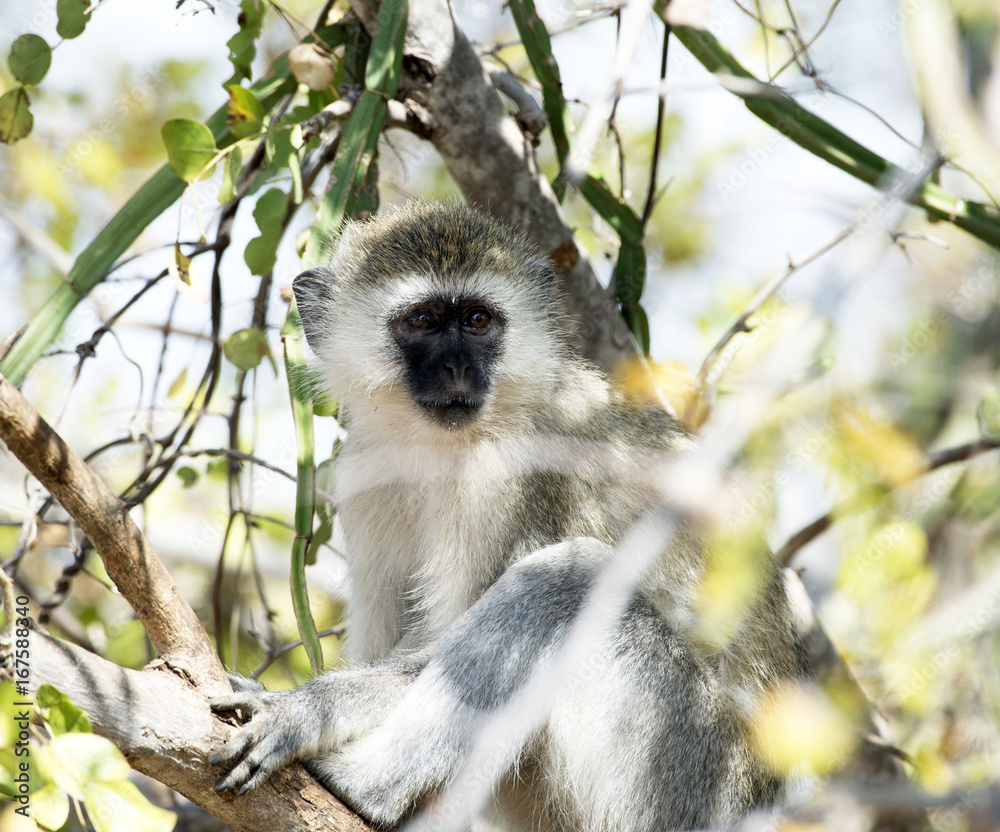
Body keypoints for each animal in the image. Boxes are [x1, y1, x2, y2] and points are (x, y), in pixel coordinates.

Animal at [209, 201, 858, 830]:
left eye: (478, 321)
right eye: (422, 321)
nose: (456, 369)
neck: (439, 443)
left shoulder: (513, 477)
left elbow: (429, 655)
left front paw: (302, 710)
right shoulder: (365, 476)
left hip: (684, 774)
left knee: (567, 577)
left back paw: (365, 786)